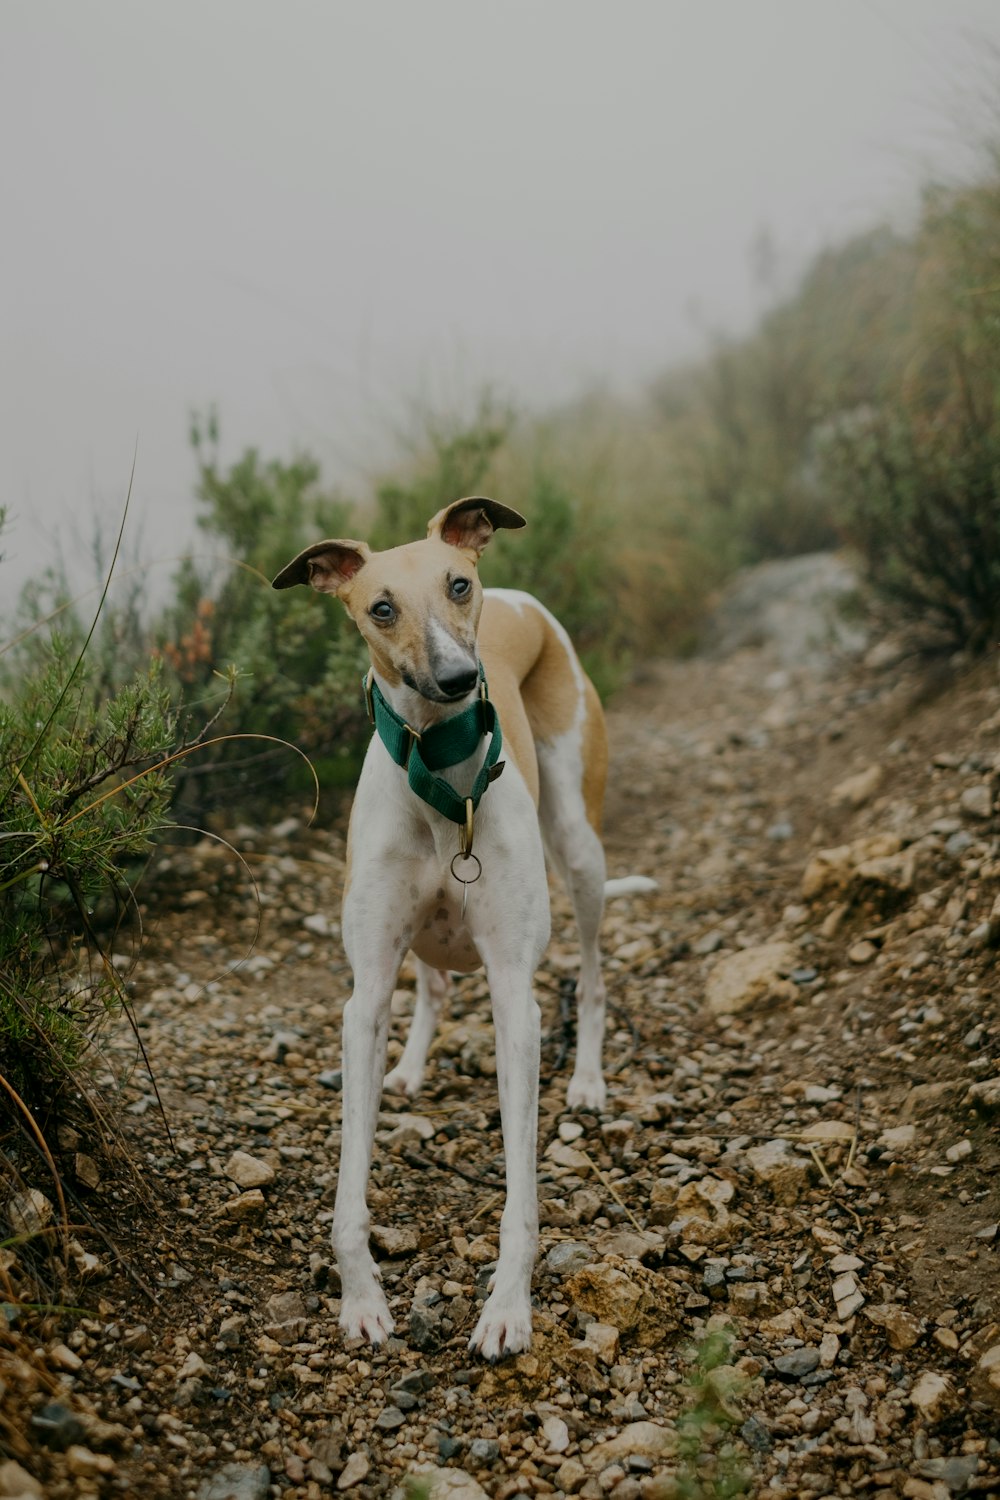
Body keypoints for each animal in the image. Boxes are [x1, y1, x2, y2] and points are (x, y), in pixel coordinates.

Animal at [271, 495, 656, 1362]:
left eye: (456, 585)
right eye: (381, 608)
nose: (454, 679)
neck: (443, 780)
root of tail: (521, 599)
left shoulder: (515, 996)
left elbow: (520, 1200)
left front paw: (507, 1309)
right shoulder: (364, 999)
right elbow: (348, 1195)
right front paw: (362, 1302)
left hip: (578, 847)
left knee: (593, 975)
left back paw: (588, 1080)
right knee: (437, 988)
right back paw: (411, 1068)